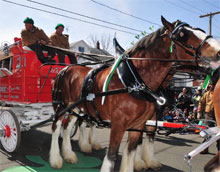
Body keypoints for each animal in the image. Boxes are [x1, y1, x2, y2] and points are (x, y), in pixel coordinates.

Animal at [49, 16, 220, 172]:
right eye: (182, 34)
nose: (219, 52)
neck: (134, 83)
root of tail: (65, 69)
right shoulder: (118, 125)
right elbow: (112, 156)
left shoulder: (139, 124)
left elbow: (132, 150)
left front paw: (143, 162)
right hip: (61, 106)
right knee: (56, 127)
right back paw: (56, 159)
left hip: (76, 108)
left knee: (68, 127)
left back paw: (70, 154)